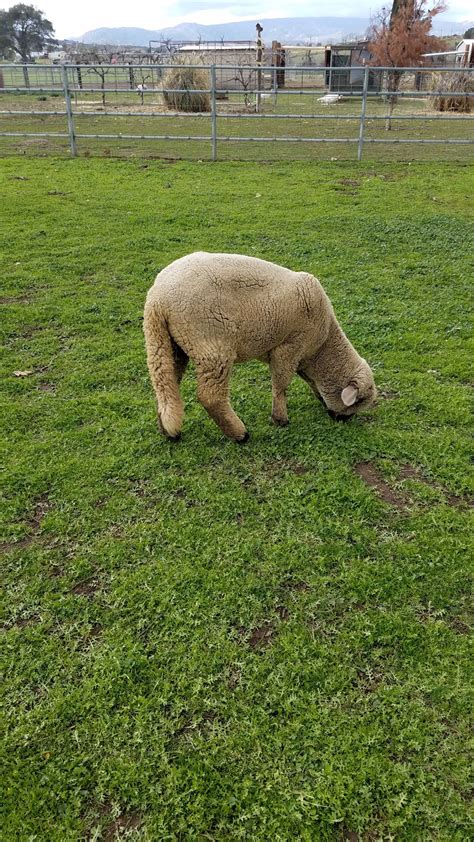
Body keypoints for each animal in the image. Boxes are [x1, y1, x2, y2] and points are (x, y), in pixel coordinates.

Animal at [143, 253, 376, 442]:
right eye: (359, 401)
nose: (342, 421)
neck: (322, 346)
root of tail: (157, 300)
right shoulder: (289, 346)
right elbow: (281, 384)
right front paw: (280, 419)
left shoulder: (302, 356)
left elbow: (308, 380)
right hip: (211, 345)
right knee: (210, 396)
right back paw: (239, 434)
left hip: (170, 344)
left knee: (167, 384)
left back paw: (169, 431)